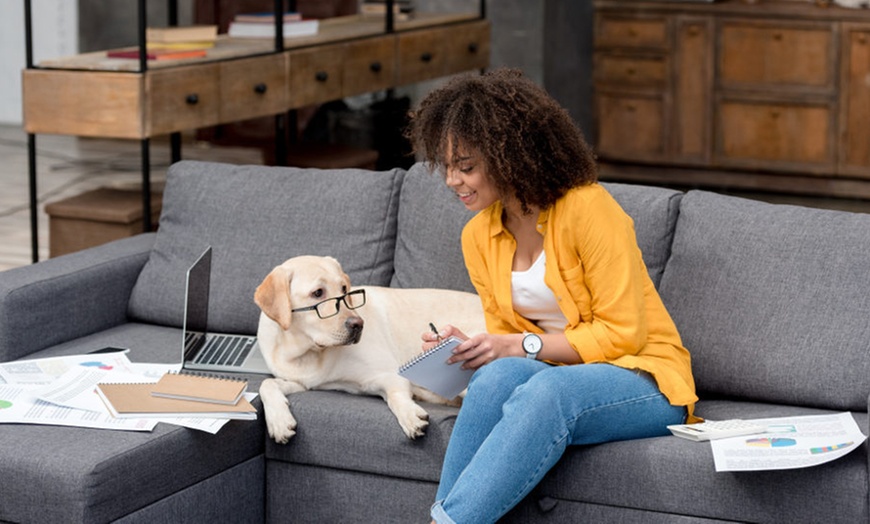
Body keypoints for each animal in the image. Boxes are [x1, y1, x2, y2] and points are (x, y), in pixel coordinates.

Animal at [254, 256, 490, 444]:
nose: (358, 324)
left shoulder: (388, 374)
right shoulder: (303, 383)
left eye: (344, 289)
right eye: (317, 293)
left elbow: (396, 396)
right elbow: (267, 384)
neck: (307, 352)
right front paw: (279, 421)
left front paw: (410, 415)